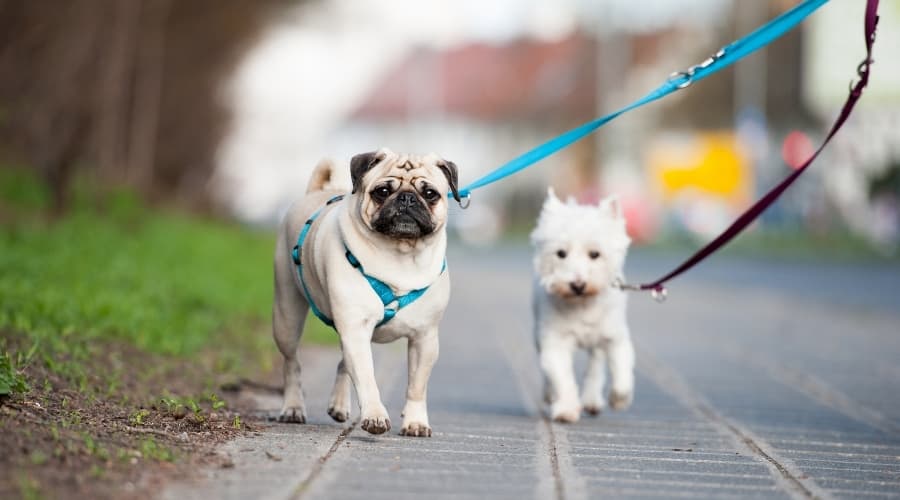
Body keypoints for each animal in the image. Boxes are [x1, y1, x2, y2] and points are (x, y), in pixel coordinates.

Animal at [532, 189, 636, 424]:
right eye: (561, 253)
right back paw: (550, 395)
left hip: (598, 342)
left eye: (595, 254)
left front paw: (619, 400)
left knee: (596, 364)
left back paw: (592, 399)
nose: (577, 285)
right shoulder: (555, 341)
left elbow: (622, 371)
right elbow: (561, 377)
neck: (582, 305)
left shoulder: (616, 338)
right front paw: (566, 410)